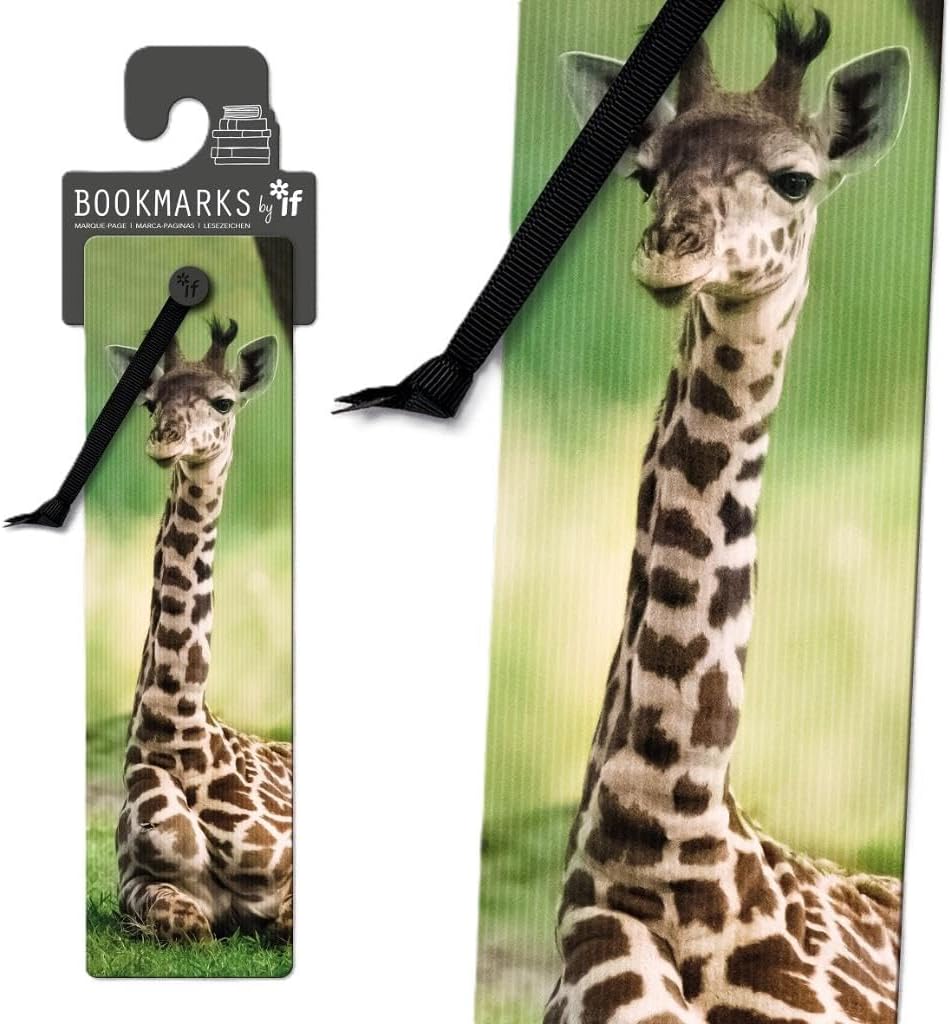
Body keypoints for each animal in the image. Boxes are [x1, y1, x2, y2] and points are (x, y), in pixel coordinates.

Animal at [107, 317, 292, 943]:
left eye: (224, 401)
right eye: (149, 402)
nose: (165, 441)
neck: (177, 735)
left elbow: (282, 918)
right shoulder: (137, 883)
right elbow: (189, 923)